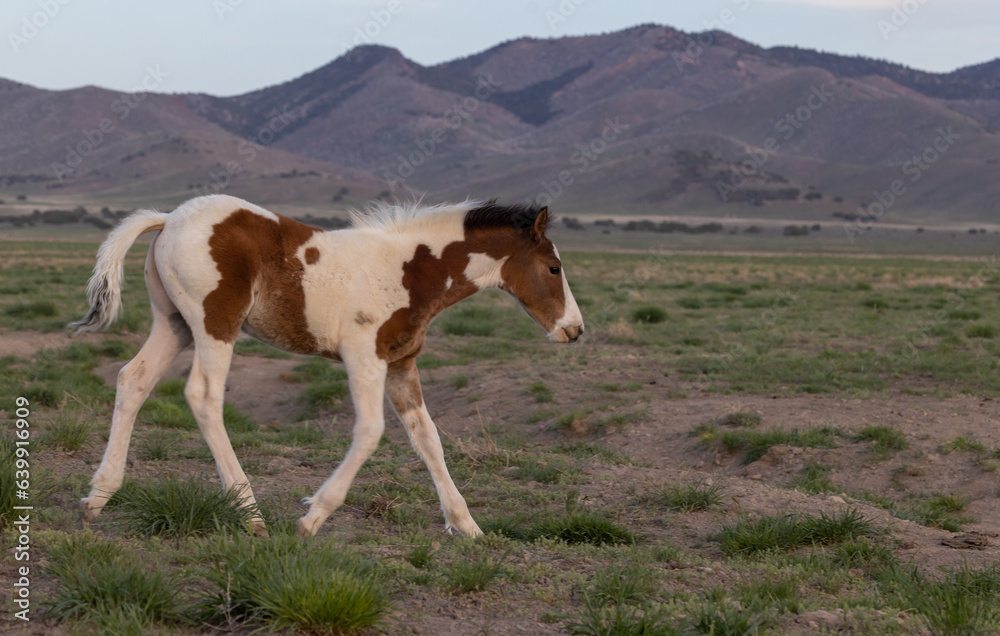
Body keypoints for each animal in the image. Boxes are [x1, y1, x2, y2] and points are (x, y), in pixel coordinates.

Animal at [70, 194, 584, 536]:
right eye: (554, 268)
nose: (575, 329)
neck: (413, 271)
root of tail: (169, 218)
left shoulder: (402, 364)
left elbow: (428, 439)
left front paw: (467, 526)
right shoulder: (364, 358)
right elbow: (371, 432)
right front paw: (312, 516)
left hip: (173, 324)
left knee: (133, 379)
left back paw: (97, 498)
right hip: (215, 324)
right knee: (203, 396)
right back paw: (250, 513)